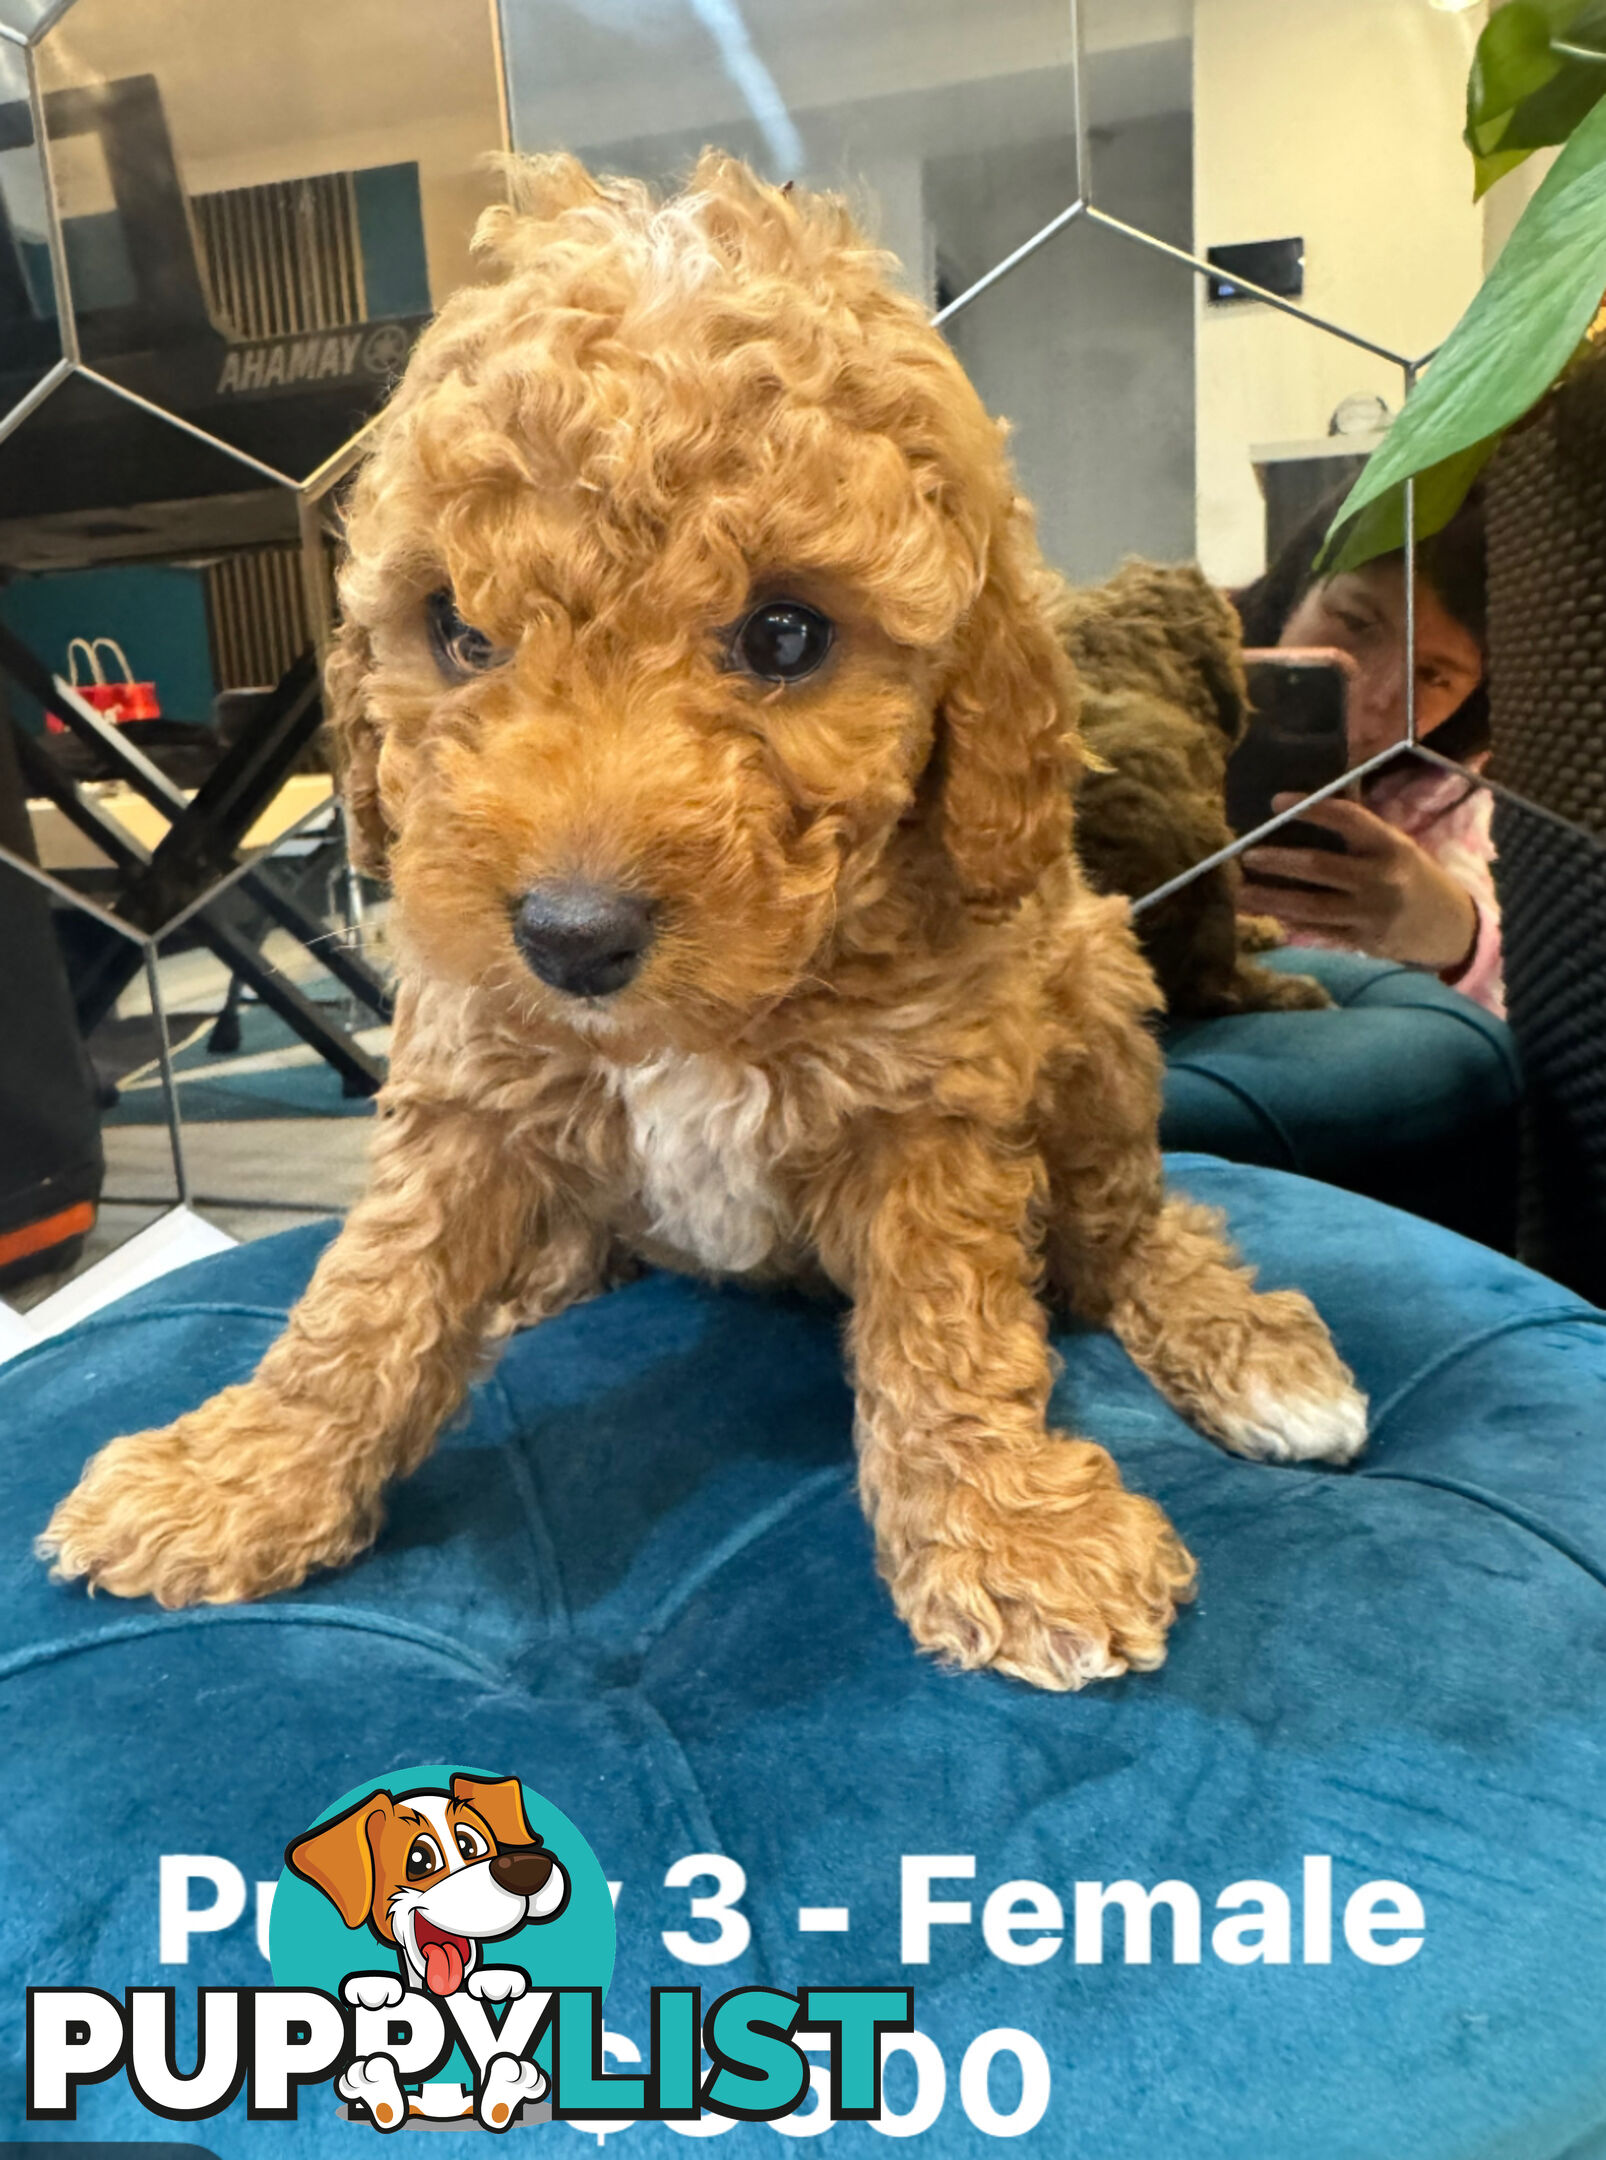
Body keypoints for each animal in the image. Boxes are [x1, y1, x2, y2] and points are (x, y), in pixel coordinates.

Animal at [37, 156, 1364, 1702]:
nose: (570, 938)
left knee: (1130, 1224)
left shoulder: (932, 1106)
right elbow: (368, 1295)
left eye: (786, 636)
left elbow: (952, 1326)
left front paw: (1009, 1534)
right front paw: (243, 1474)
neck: (710, 1023)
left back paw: (1247, 1348)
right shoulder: (467, 1076)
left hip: (1091, 1001)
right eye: (458, 632)